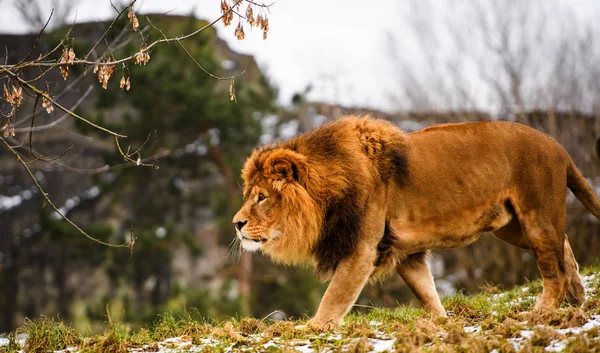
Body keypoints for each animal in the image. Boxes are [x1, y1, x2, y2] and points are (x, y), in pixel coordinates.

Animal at [231, 116, 600, 330]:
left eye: (261, 197)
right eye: (249, 194)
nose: (236, 223)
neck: (328, 192)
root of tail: (558, 147)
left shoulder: (360, 251)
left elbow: (333, 297)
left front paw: (311, 328)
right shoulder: (405, 253)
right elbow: (427, 291)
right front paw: (441, 323)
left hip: (536, 215)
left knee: (552, 270)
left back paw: (542, 313)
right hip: (512, 226)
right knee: (563, 246)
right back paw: (578, 296)